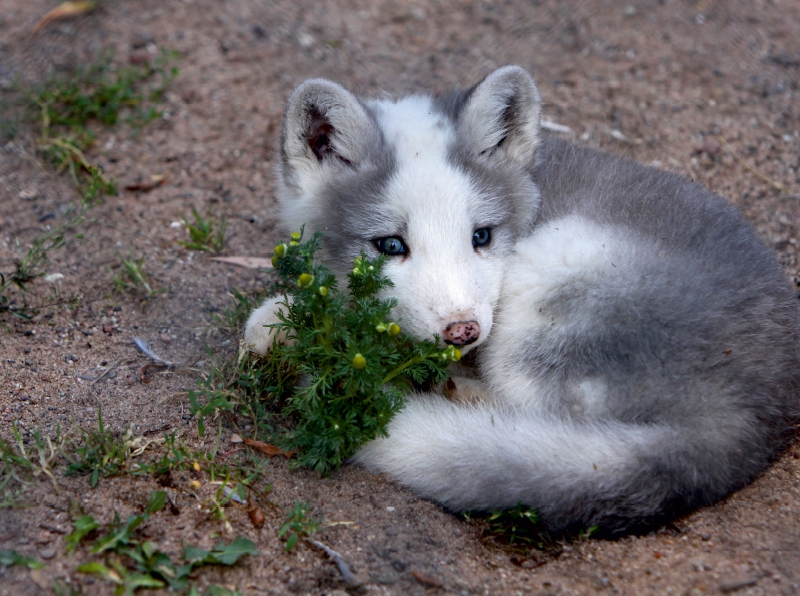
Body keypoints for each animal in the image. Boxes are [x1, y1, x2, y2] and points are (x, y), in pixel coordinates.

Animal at [244, 66, 800, 536]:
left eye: (482, 236)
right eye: (391, 245)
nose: (463, 330)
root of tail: (748, 415)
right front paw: (278, 323)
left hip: (551, 277)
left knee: (534, 416)